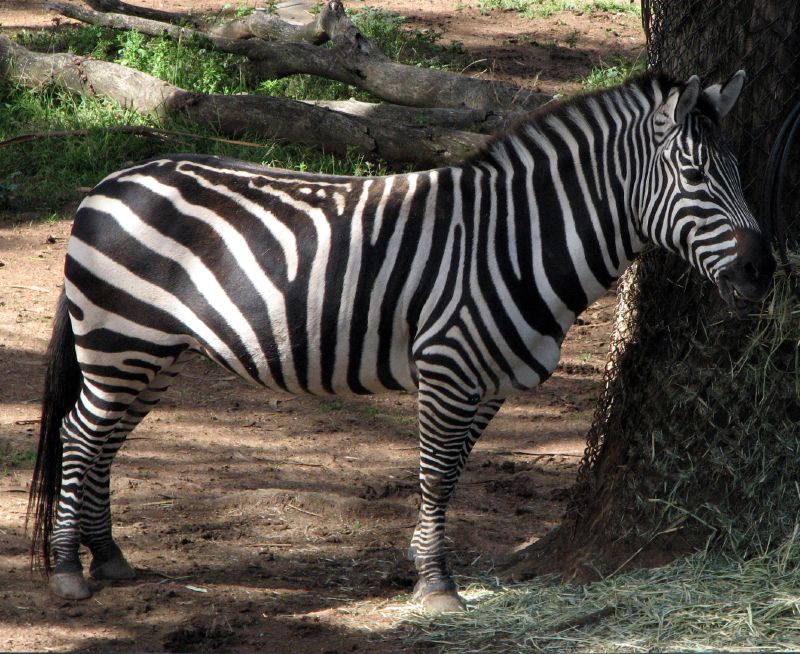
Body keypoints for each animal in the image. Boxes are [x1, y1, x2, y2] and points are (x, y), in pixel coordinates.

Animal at [28, 72, 772, 616]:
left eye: (740, 172)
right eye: (697, 177)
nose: (764, 270)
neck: (519, 238)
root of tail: (109, 183)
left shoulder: (489, 383)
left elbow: (454, 474)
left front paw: (424, 568)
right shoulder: (448, 367)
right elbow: (437, 474)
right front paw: (437, 586)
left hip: (150, 351)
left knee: (104, 440)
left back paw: (108, 555)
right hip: (121, 337)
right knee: (79, 434)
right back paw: (67, 569)